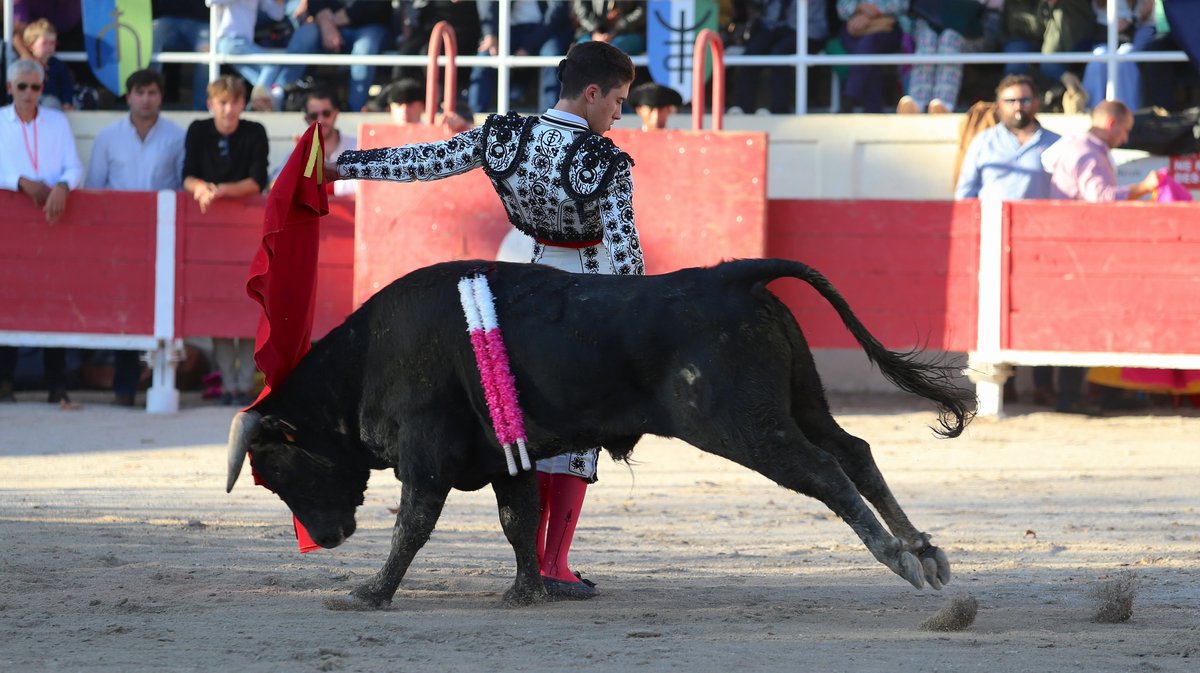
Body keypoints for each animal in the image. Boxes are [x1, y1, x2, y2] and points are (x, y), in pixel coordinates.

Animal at [225, 257, 974, 609]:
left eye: (276, 471)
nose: (324, 539)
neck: (367, 360)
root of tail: (733, 274)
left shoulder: (425, 454)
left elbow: (413, 524)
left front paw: (368, 593)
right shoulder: (505, 457)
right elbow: (519, 519)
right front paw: (526, 593)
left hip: (742, 424)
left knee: (823, 469)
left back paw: (901, 559)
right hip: (799, 399)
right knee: (856, 451)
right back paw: (926, 552)